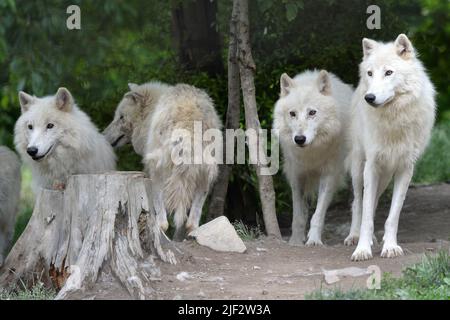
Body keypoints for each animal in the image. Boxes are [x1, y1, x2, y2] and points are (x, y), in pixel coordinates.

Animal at [102, 82, 221, 238]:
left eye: (121, 117)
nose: (103, 135)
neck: (149, 115)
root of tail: (189, 116)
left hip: (160, 170)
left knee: (164, 216)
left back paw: (160, 229)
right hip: (205, 172)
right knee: (191, 222)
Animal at [272, 69, 354, 245]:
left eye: (312, 112)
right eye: (292, 114)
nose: (299, 139)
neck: (311, 153)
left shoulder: (329, 175)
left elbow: (318, 214)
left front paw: (314, 240)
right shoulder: (296, 176)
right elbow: (298, 216)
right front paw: (296, 241)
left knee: (358, 204)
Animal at [344, 33, 436, 262]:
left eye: (388, 72)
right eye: (370, 73)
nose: (369, 98)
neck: (394, 118)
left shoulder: (405, 168)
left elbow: (393, 215)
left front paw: (390, 247)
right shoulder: (371, 166)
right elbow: (366, 214)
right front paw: (362, 249)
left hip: (385, 176)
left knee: (373, 200)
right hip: (359, 168)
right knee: (358, 203)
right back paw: (354, 236)